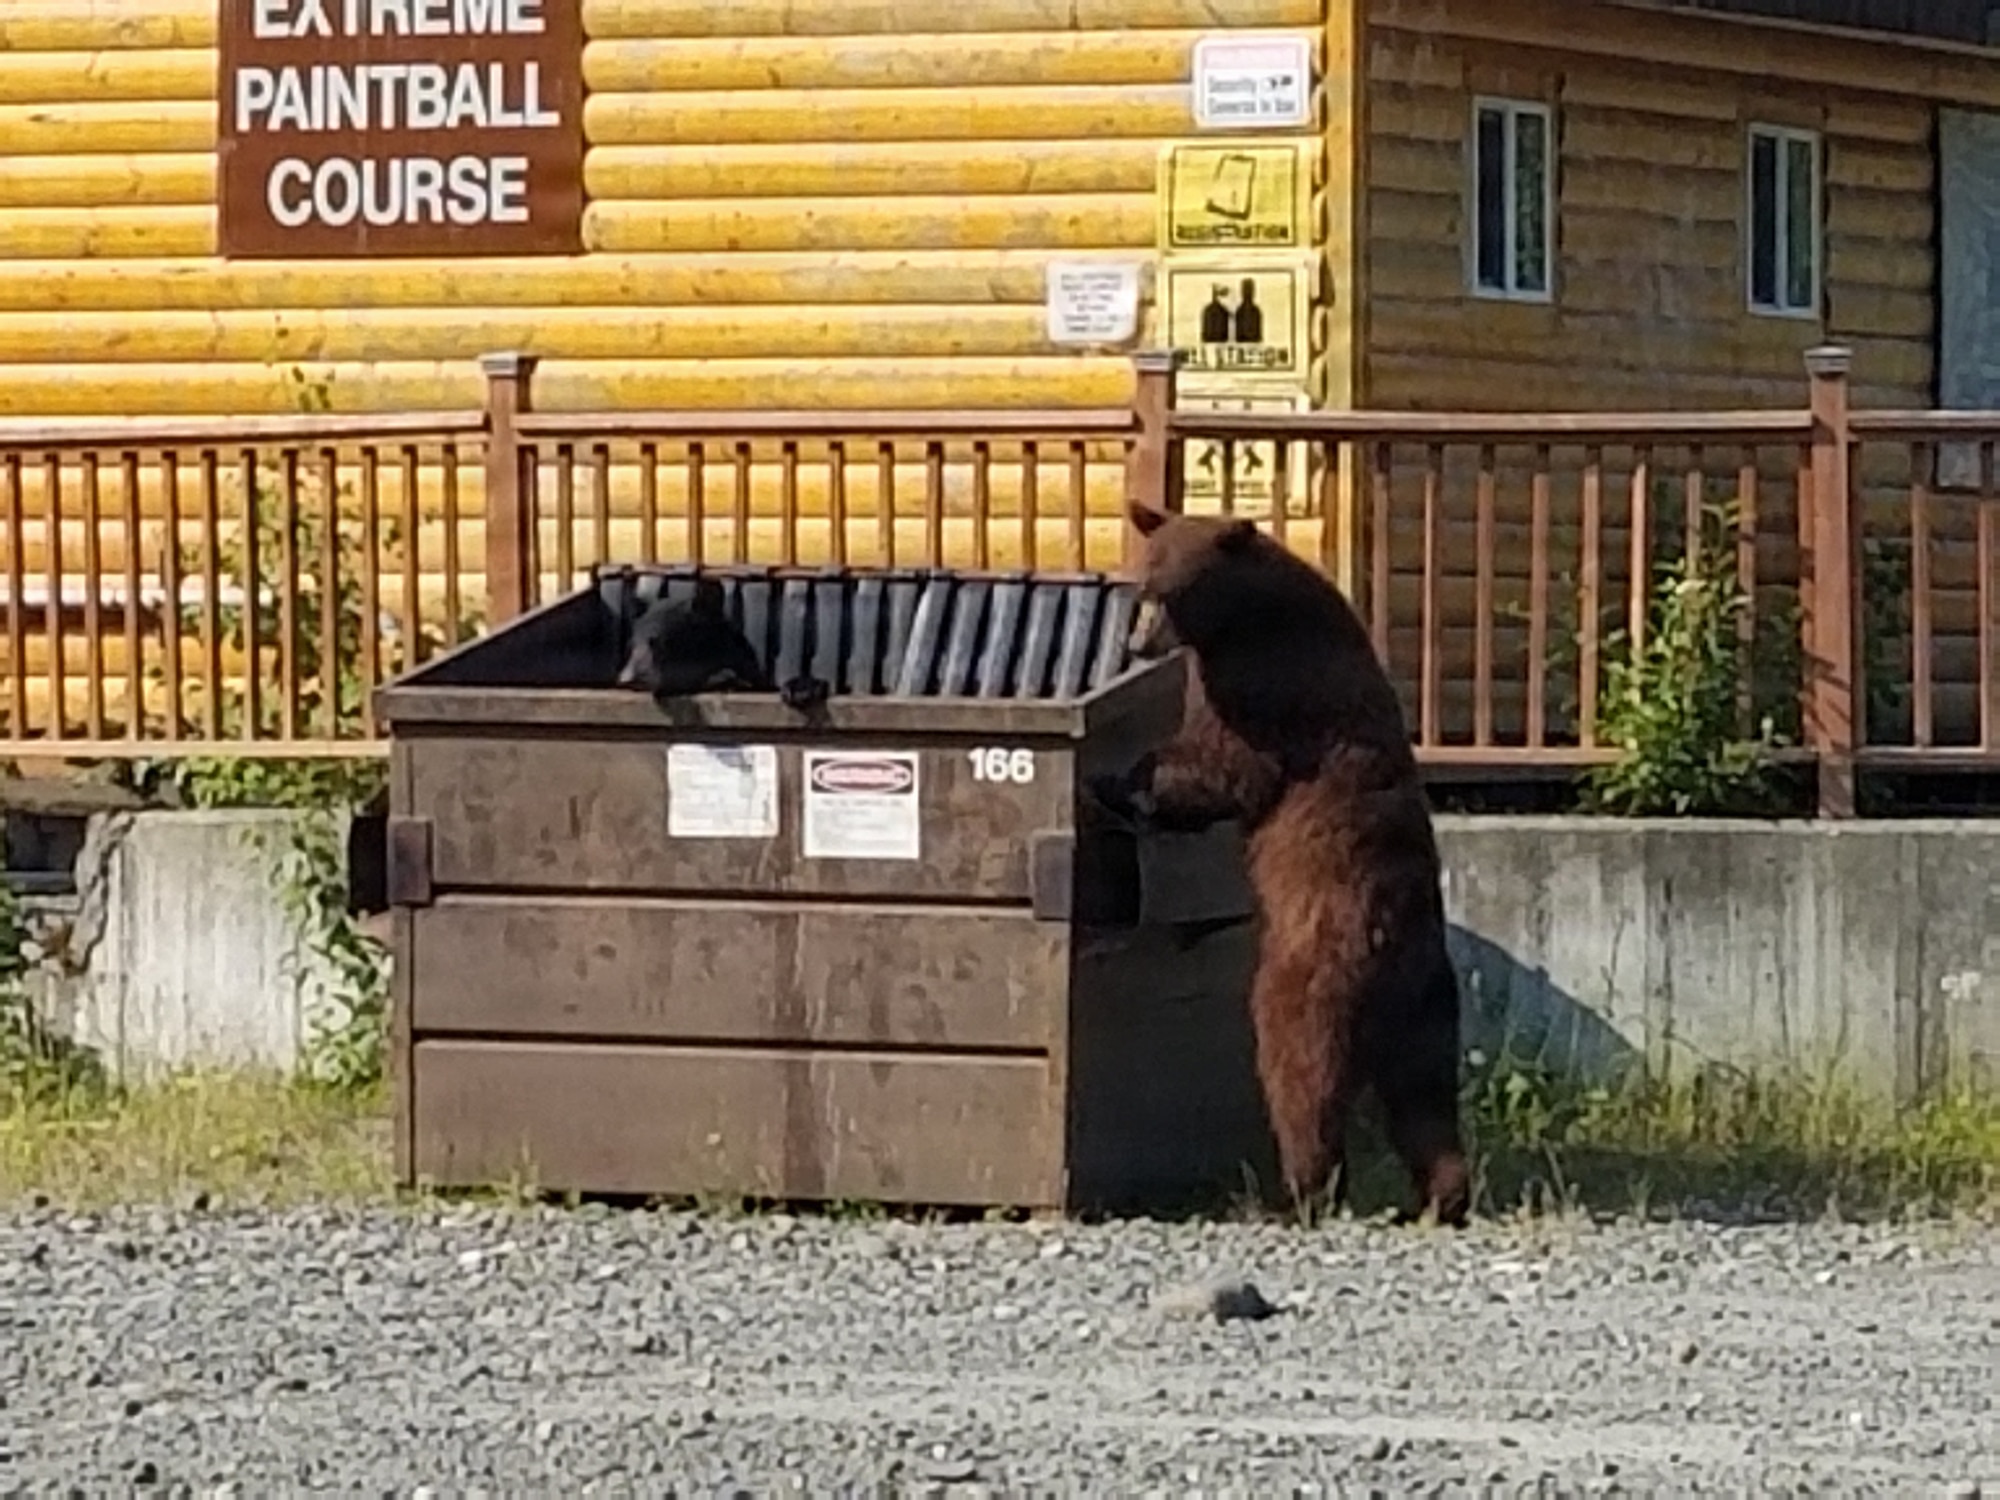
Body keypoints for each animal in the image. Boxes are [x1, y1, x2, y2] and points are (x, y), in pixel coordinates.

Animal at [1089, 501, 1471, 1227]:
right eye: (1140, 585)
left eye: (1168, 592)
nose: (1137, 645)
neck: (1246, 614)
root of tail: (1388, 950)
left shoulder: (1268, 683)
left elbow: (1222, 765)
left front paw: (1124, 782)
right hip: (1427, 1012)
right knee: (1428, 1102)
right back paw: (1444, 1197)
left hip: (1312, 980)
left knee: (1301, 1078)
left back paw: (1300, 1193)